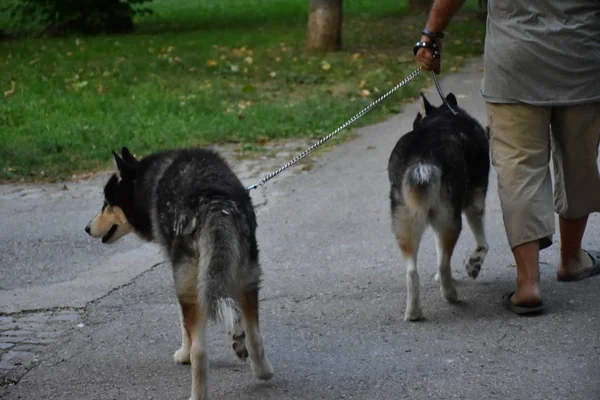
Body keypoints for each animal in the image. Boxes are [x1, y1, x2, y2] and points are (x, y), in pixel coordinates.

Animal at [84, 147, 272, 400]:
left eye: (106, 203)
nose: (87, 228)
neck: (148, 181)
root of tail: (214, 203)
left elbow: (183, 326)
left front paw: (183, 354)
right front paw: (236, 338)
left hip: (189, 283)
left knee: (199, 352)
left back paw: (197, 391)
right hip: (247, 276)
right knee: (254, 335)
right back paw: (263, 371)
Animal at [386, 94, 490, 322]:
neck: (445, 115)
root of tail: (422, 160)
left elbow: (438, 250)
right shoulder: (475, 201)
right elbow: (482, 243)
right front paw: (473, 263)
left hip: (405, 223)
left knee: (412, 272)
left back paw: (414, 312)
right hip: (451, 220)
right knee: (444, 265)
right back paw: (450, 295)